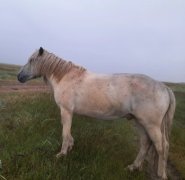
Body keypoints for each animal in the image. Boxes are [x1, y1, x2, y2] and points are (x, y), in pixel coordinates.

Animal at [17, 47, 176, 179]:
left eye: (32, 60)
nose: (19, 76)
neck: (65, 77)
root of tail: (164, 87)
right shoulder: (68, 112)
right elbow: (68, 133)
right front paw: (70, 146)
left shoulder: (66, 111)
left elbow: (65, 133)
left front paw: (62, 154)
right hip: (139, 121)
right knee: (145, 143)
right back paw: (132, 167)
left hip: (151, 124)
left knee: (162, 146)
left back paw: (161, 174)